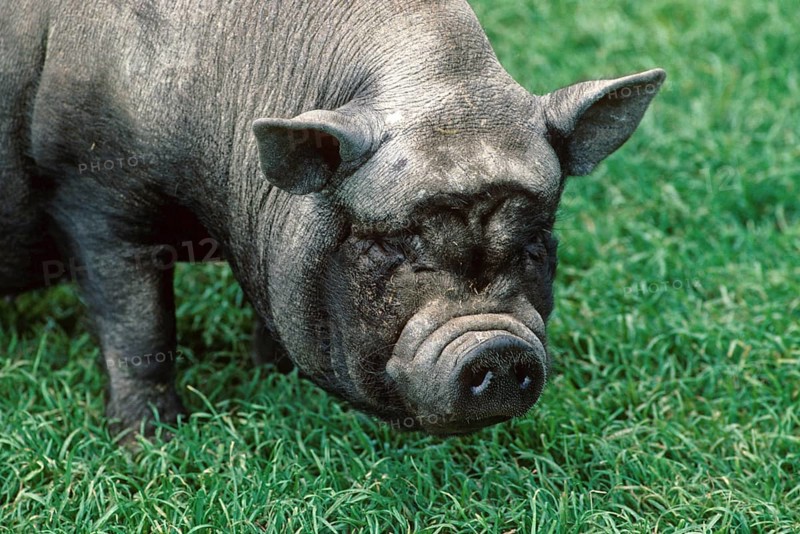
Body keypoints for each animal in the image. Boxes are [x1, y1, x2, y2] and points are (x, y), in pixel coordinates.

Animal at [0, 0, 665, 437]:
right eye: (395, 247)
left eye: (534, 242)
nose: (498, 348)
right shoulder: (92, 190)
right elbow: (141, 328)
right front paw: (153, 442)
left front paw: (275, 379)